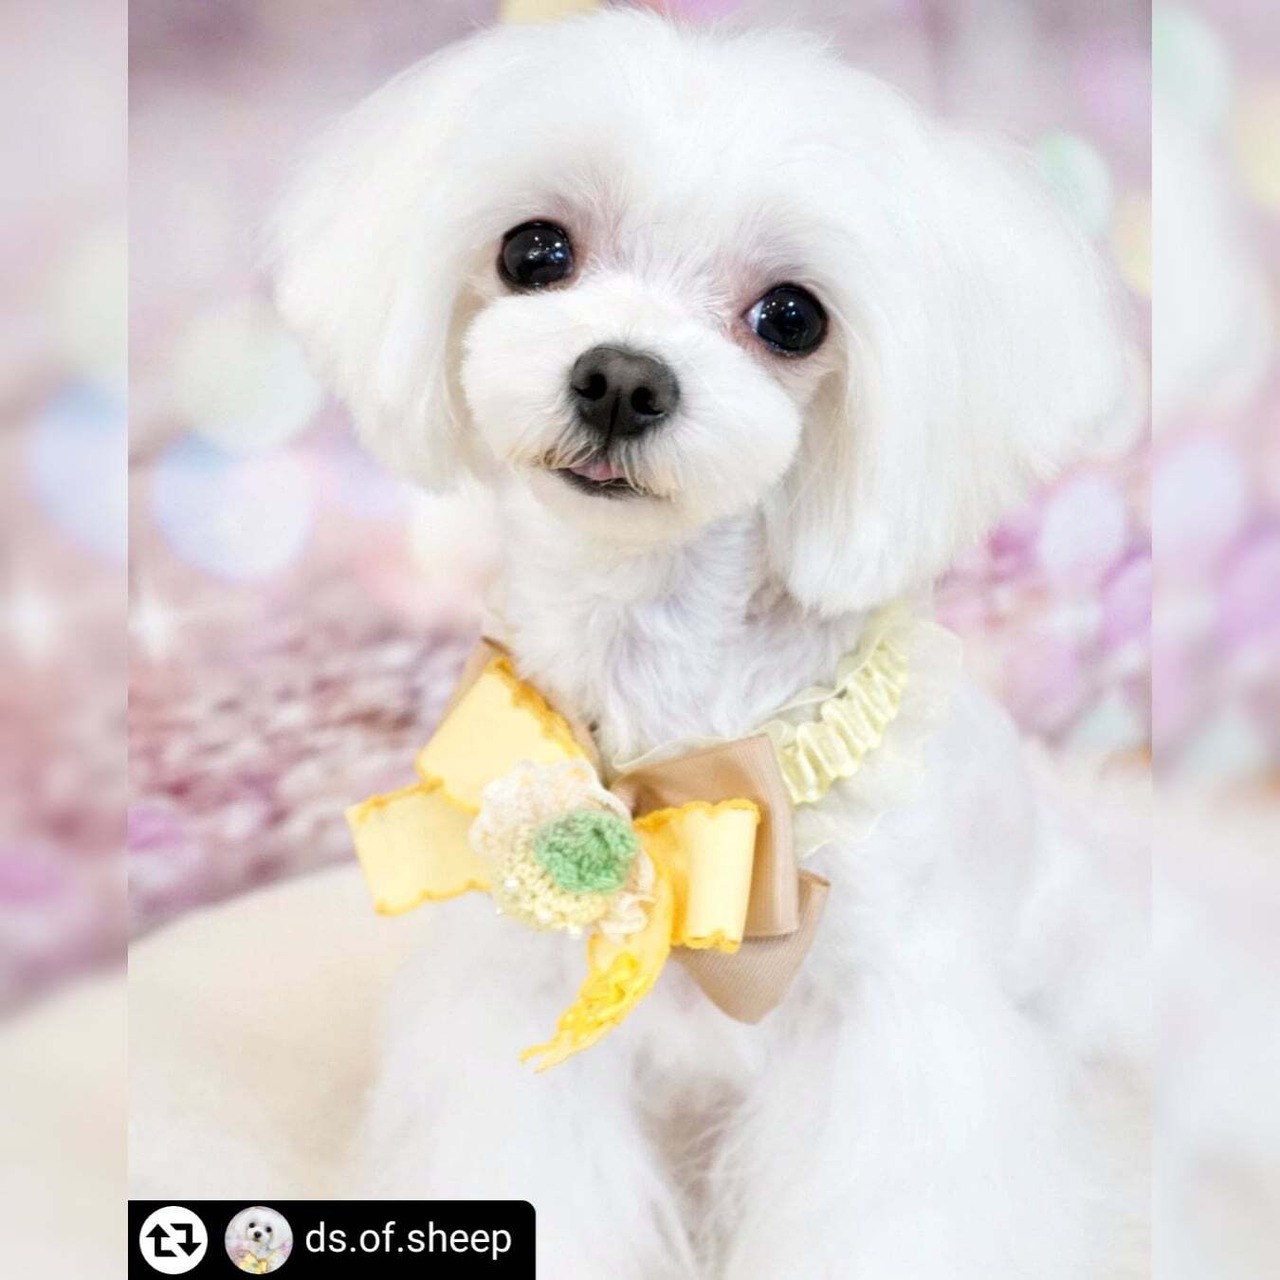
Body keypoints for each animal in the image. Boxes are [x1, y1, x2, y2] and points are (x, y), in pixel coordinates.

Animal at [269, 11, 1148, 1277]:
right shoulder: (517, 997)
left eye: (791, 316)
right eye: (534, 251)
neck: (672, 714)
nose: (620, 376)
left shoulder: (888, 1032)